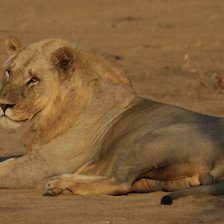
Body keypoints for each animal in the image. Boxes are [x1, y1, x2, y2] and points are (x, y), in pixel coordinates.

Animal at [0, 36, 224, 205]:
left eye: (33, 80)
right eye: (8, 72)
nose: (2, 105)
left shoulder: (43, 164)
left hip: (147, 143)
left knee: (120, 182)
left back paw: (59, 184)